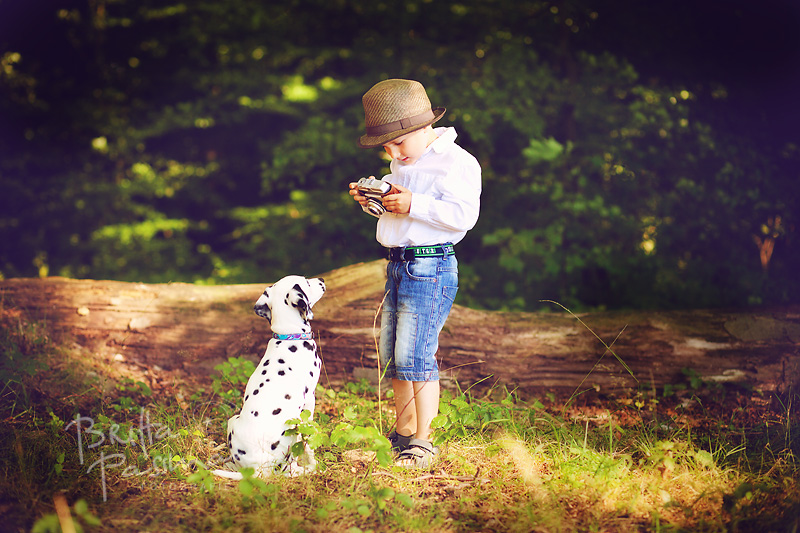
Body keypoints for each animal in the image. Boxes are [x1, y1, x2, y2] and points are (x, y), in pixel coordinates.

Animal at [214, 274, 326, 478]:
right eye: (306, 282)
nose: (321, 279)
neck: (289, 335)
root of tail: (256, 470)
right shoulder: (309, 401)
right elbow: (309, 440)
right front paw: (314, 463)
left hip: (232, 420)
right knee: (289, 469)